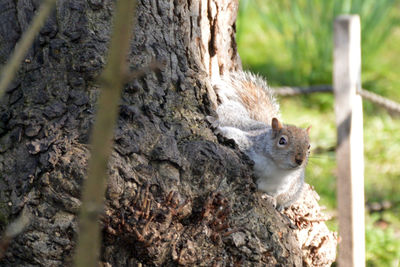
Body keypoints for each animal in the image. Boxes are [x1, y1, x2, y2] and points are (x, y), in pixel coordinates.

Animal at [211, 71, 310, 211]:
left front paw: (271, 199)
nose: (299, 160)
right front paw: (219, 130)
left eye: (309, 147)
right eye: (282, 141)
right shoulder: (250, 144)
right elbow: (236, 135)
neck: (276, 166)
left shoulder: (284, 184)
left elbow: (274, 193)